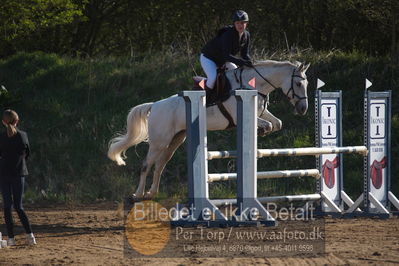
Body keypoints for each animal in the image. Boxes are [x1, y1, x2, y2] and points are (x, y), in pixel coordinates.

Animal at [108, 59, 310, 197]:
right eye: (299, 83)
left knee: (160, 164)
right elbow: (268, 124)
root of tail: (155, 105)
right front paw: (261, 132)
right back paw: (138, 194)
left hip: (175, 140)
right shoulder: (240, 115)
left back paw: (152, 192)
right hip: (159, 142)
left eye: (306, 84)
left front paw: (262, 134)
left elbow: (276, 123)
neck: (254, 85)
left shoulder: (261, 113)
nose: (303, 109)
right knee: (146, 164)